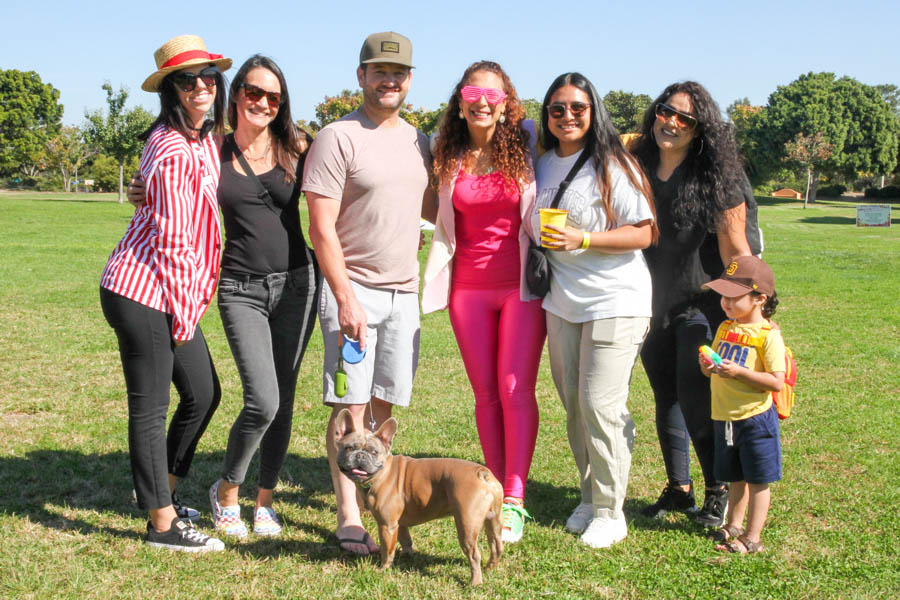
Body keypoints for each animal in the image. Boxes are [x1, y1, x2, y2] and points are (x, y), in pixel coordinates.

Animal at [334, 408, 503, 586]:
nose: (360, 456)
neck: (382, 473)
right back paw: (490, 568)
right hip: (493, 520)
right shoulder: (398, 523)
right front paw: (407, 555)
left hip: (466, 524)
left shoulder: (387, 526)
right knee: (496, 545)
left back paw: (475, 582)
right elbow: (405, 539)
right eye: (348, 448)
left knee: (474, 554)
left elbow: (387, 549)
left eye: (374, 452)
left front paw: (383, 568)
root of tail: (482, 473)